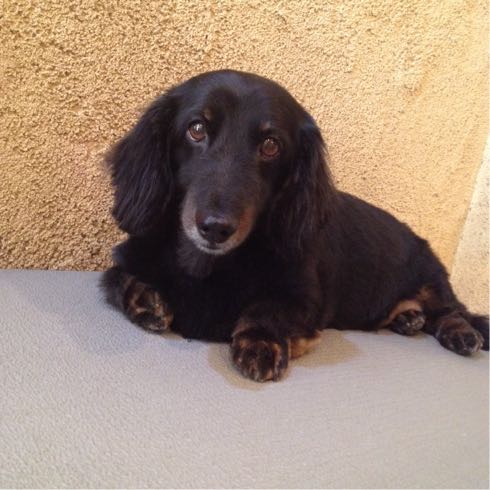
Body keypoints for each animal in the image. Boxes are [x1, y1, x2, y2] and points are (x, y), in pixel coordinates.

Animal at [101, 70, 489, 382]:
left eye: (271, 145)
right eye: (196, 129)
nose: (215, 228)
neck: (207, 266)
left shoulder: (306, 300)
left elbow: (267, 309)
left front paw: (261, 342)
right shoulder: (126, 260)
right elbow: (117, 278)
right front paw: (147, 300)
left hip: (432, 279)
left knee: (453, 312)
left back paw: (460, 333)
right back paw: (408, 319)